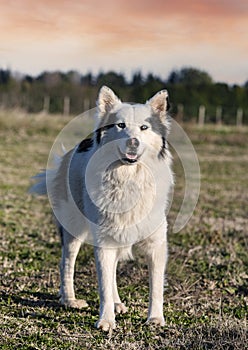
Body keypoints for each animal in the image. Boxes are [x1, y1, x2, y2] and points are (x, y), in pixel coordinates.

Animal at [30, 85, 173, 330]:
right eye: (120, 125)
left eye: (144, 128)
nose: (133, 142)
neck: (128, 176)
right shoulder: (104, 242)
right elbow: (104, 283)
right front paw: (106, 320)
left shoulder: (155, 244)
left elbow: (155, 286)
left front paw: (155, 318)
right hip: (74, 230)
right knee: (66, 262)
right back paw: (70, 300)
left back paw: (117, 303)